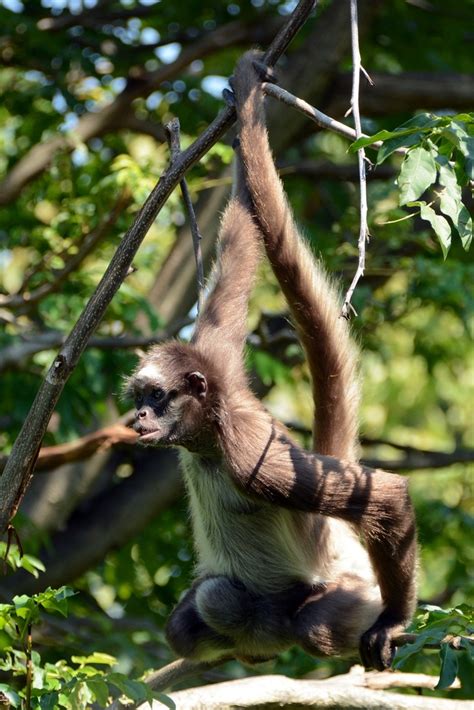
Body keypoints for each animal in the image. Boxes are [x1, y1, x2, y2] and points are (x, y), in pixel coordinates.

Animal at [125, 51, 414, 672]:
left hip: (345, 591)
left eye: (156, 397)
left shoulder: (250, 453)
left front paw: (395, 622)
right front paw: (246, 97)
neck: (210, 437)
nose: (138, 418)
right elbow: (239, 247)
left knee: (278, 614)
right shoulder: (215, 355)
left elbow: (389, 495)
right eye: (140, 398)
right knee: (188, 620)